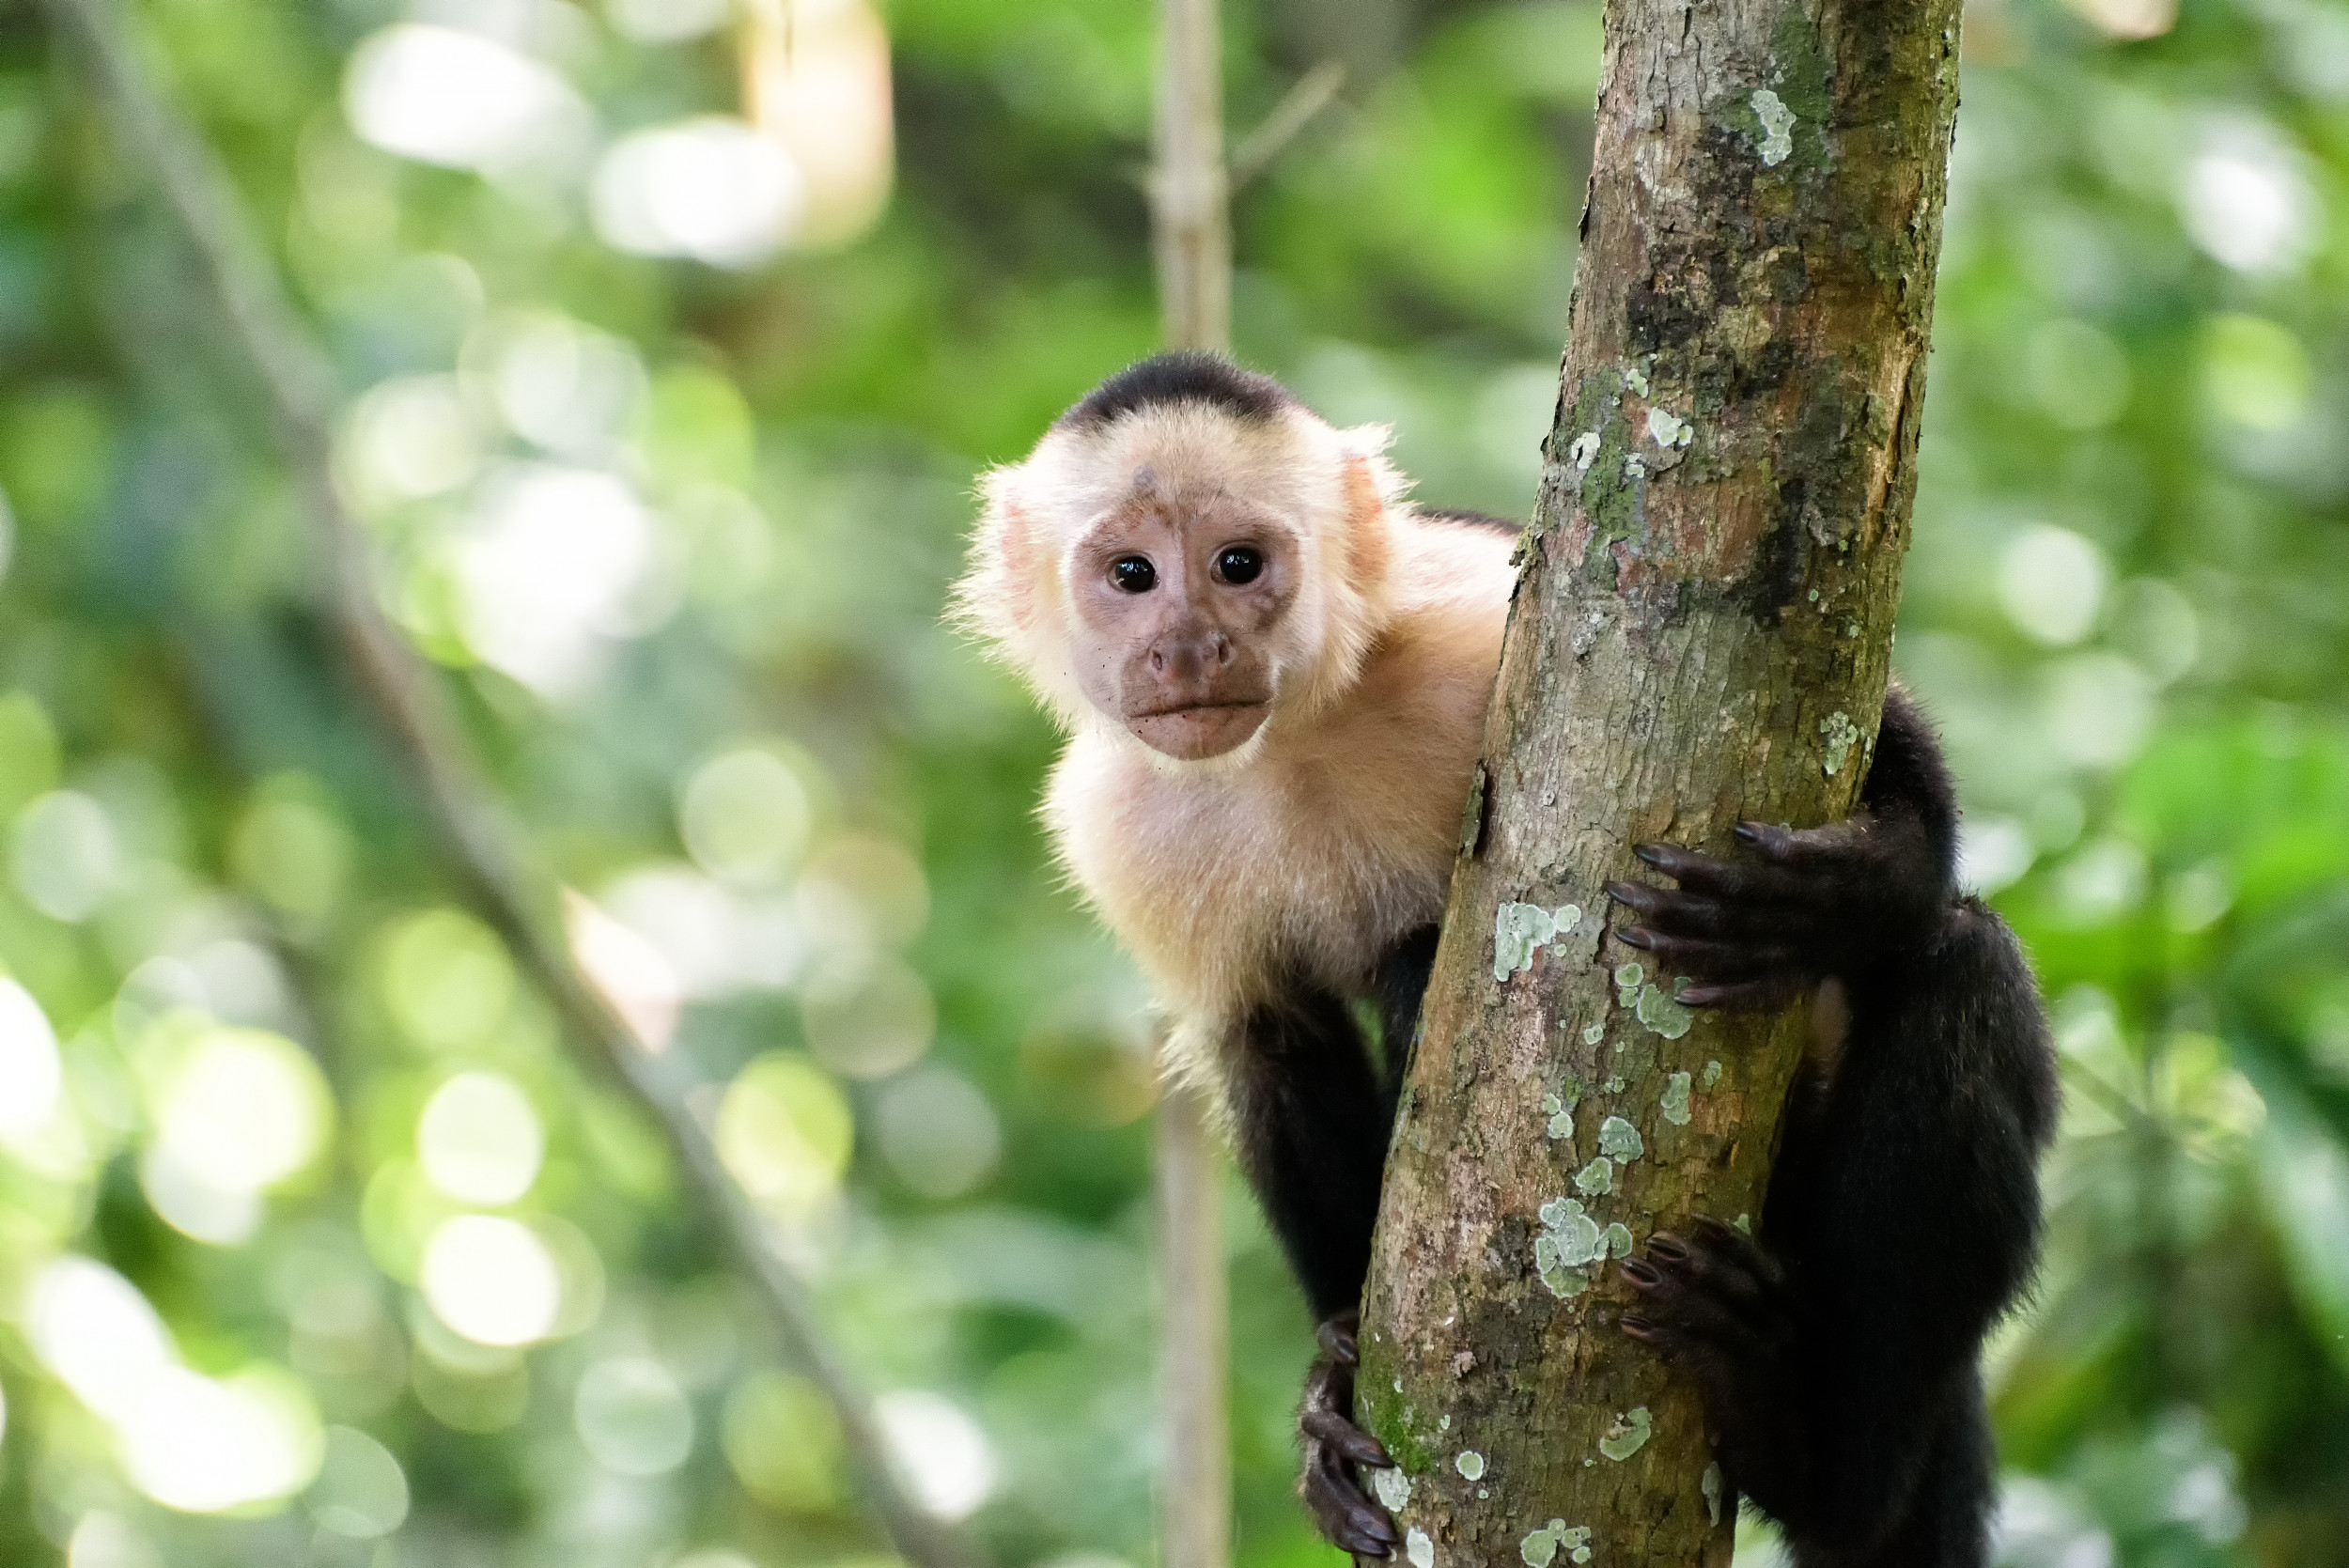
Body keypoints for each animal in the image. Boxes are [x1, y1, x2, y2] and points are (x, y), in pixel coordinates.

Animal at [955, 350, 2058, 1568]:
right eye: (1132, 574)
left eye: (1238, 564)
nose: (1192, 646)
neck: (1290, 739)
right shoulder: (1114, 827)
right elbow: (1272, 1047)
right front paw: (1331, 1383)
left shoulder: (1467, 612)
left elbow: (1880, 727)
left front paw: (1849, 886)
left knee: (1961, 971)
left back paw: (1819, 1455)